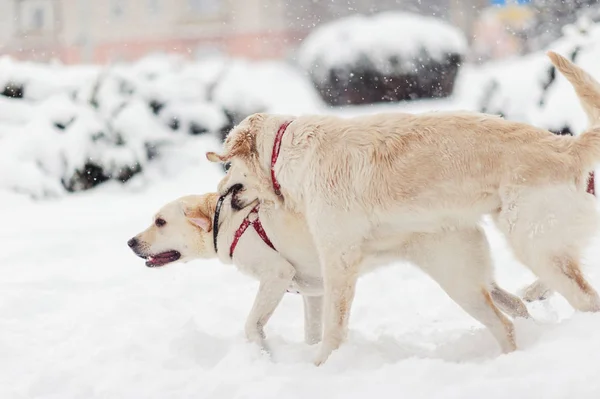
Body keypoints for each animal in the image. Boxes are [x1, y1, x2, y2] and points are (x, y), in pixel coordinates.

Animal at [127, 190, 528, 354]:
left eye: (160, 222)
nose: (130, 242)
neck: (229, 220)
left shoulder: (275, 276)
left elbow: (251, 324)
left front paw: (264, 352)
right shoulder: (316, 293)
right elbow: (312, 334)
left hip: (459, 285)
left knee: (504, 324)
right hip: (477, 279)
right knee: (517, 305)